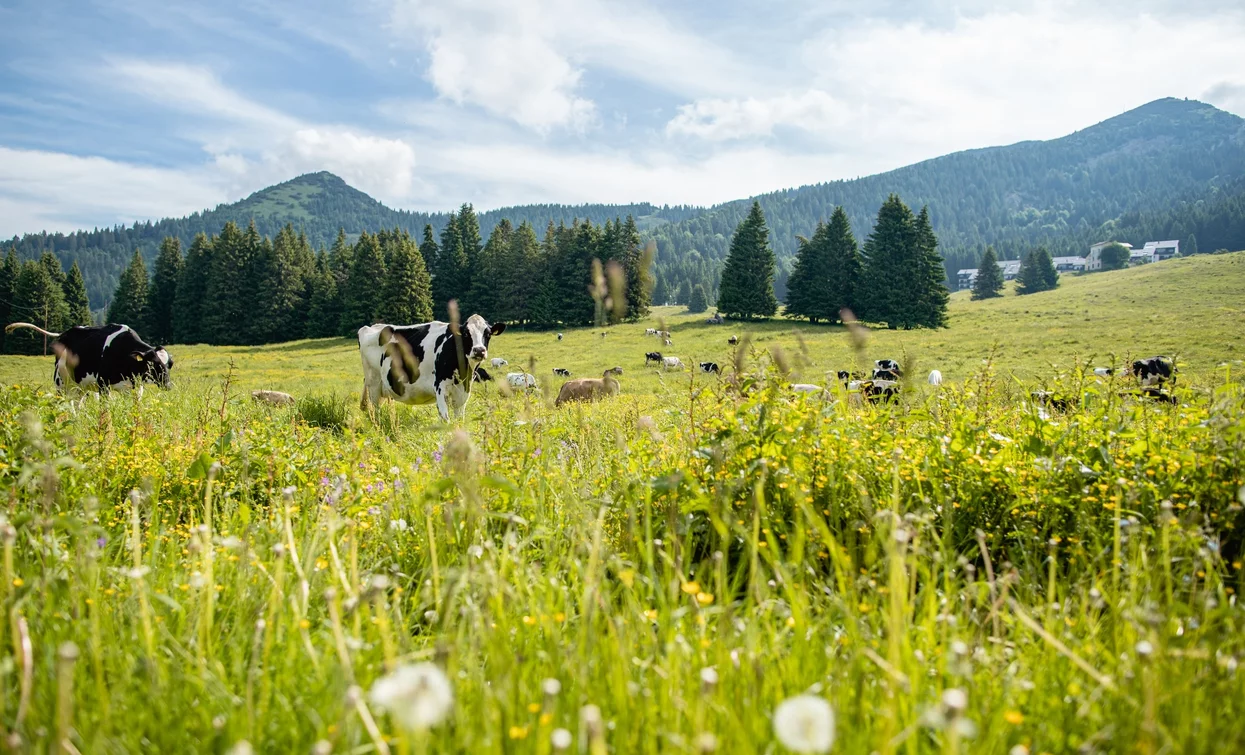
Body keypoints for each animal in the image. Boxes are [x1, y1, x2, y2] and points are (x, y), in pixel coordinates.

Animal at [4, 322, 173, 391]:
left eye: (169, 365)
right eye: (154, 364)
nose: (169, 385)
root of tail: (66, 333)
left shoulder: (132, 387)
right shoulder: (103, 384)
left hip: (81, 387)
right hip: (61, 384)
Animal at [357, 314, 506, 421]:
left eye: (488, 334)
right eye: (465, 333)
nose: (479, 350)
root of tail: (371, 327)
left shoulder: (463, 392)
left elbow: (459, 420)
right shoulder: (440, 387)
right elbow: (445, 420)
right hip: (374, 384)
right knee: (375, 411)